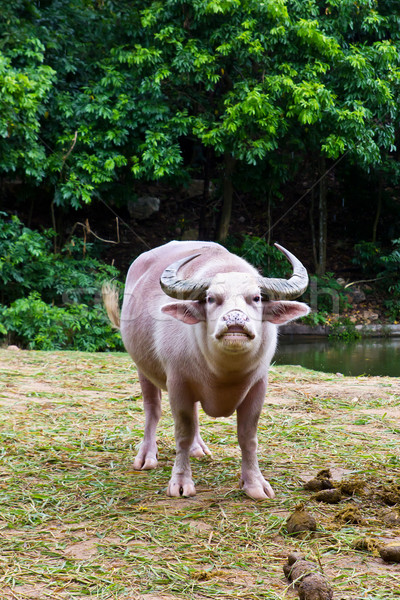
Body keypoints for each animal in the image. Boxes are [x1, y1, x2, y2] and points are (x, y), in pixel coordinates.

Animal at [104, 241, 310, 500]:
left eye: (256, 298)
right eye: (212, 299)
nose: (235, 320)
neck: (225, 373)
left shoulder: (258, 386)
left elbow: (248, 437)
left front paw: (254, 483)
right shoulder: (178, 384)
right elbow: (182, 433)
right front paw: (181, 482)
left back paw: (198, 448)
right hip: (143, 368)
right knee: (153, 410)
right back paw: (146, 456)